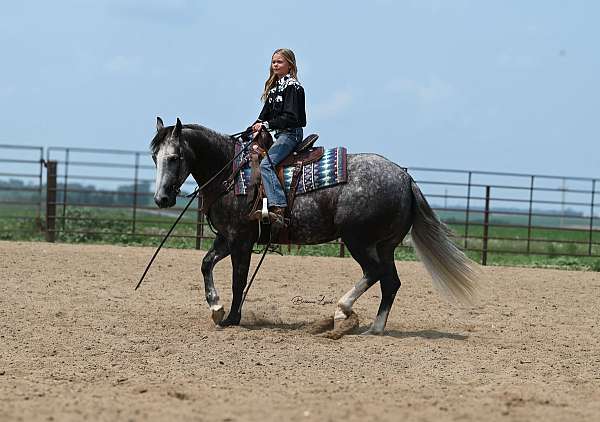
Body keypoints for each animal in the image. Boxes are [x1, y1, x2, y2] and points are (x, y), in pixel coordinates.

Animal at [152, 117, 480, 334]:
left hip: (358, 240)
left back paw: (341, 311)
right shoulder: (227, 237)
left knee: (374, 273)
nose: (161, 198)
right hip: (384, 244)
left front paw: (232, 318)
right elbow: (206, 264)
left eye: (175, 157)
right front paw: (216, 309)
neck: (232, 173)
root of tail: (405, 177)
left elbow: (238, 280)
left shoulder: (241, 240)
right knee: (390, 282)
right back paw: (374, 328)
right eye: (155, 156)